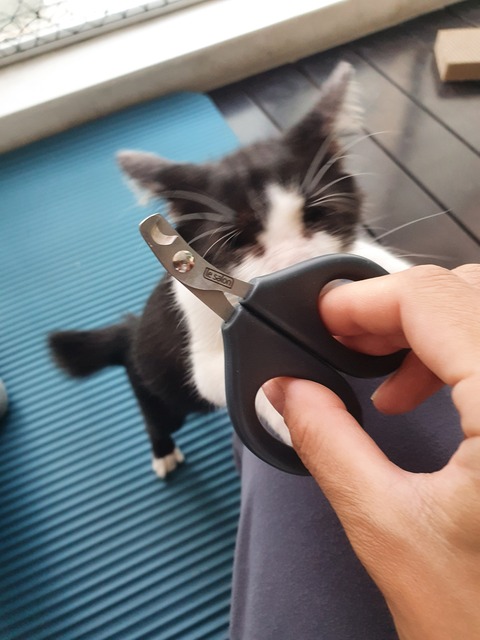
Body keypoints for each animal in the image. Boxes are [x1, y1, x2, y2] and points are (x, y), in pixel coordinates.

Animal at [48, 62, 407, 478]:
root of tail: (131, 329)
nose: (294, 268)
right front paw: (289, 415)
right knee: (154, 408)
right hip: (160, 384)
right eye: (236, 241)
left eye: (316, 215)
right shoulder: (202, 343)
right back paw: (161, 448)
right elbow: (219, 378)